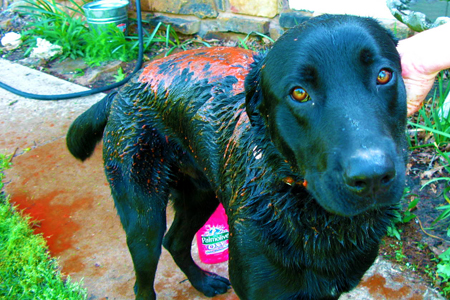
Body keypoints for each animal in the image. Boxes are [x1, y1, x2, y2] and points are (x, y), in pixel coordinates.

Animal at [67, 15, 408, 298]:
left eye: (383, 75)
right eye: (299, 93)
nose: (373, 176)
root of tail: (128, 85)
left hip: (200, 195)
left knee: (174, 241)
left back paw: (203, 283)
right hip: (143, 216)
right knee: (144, 278)